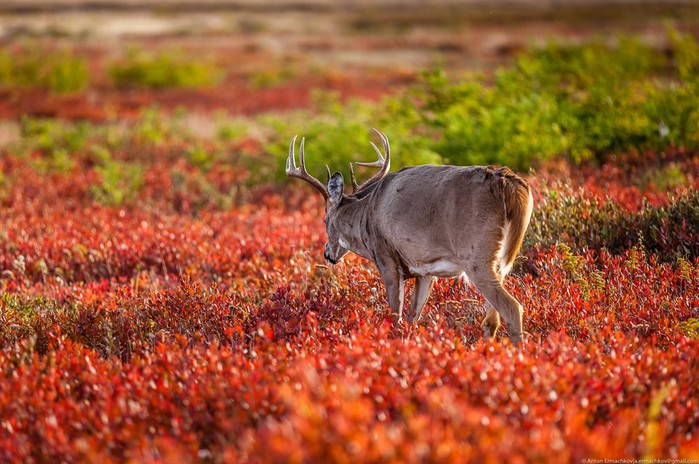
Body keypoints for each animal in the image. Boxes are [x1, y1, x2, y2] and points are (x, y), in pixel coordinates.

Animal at [288, 128, 532, 344]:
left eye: (324, 221)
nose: (327, 254)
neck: (366, 215)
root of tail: (507, 182)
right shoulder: (425, 270)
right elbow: (413, 316)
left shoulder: (386, 257)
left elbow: (395, 315)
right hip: (498, 260)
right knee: (491, 319)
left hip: (476, 256)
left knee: (512, 308)